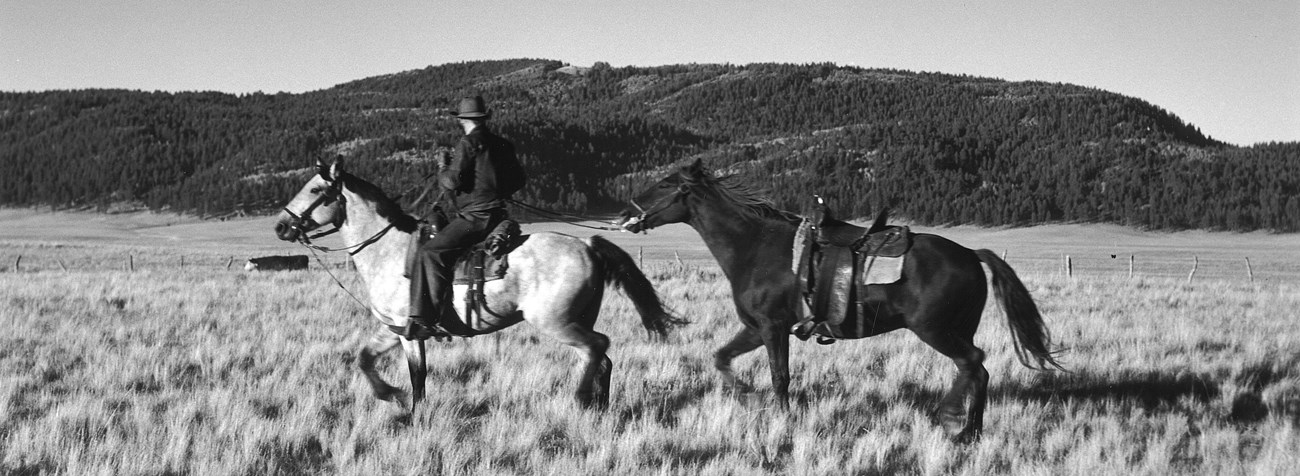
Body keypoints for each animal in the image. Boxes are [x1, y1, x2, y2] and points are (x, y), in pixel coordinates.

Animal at [274, 158, 684, 409]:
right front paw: (395, 397)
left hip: (556, 322)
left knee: (596, 348)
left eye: (315, 190)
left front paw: (407, 406)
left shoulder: (410, 331)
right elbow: (366, 359)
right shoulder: (394, 328)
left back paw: (581, 398)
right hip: (578, 319)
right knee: (602, 360)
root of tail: (586, 244)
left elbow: (416, 375)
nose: (280, 225)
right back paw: (600, 407)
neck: (388, 251)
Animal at [615, 159, 1062, 441]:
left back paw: (951, 420)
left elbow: (780, 377)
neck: (756, 246)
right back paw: (972, 431)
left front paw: (782, 417)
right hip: (955, 330)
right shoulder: (756, 328)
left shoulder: (773, 328)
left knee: (971, 364)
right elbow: (722, 358)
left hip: (935, 330)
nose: (623, 215)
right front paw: (747, 395)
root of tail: (971, 254)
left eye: (665, 184)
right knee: (978, 371)